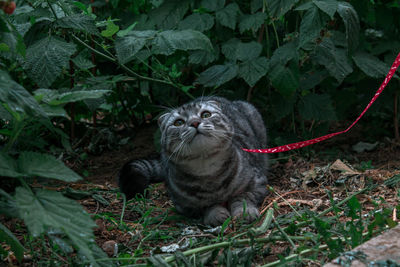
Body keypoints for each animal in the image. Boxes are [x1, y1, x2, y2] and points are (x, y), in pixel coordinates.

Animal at [119, 96, 268, 226]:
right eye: (178, 122)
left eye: (206, 114)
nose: (195, 122)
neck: (207, 169)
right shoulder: (185, 206)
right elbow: (207, 207)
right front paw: (216, 214)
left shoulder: (258, 184)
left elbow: (242, 197)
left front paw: (245, 212)